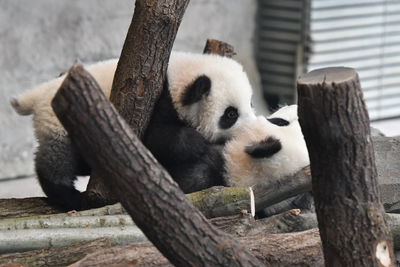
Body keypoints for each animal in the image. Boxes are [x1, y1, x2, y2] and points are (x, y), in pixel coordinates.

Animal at [13, 51, 256, 211]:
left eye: (251, 103)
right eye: (231, 114)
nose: (253, 126)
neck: (179, 73)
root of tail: (37, 94)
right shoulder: (156, 101)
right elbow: (158, 140)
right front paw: (199, 144)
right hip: (60, 122)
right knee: (57, 158)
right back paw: (67, 194)